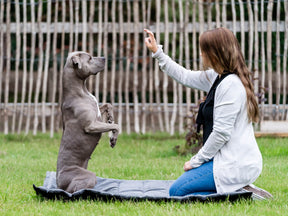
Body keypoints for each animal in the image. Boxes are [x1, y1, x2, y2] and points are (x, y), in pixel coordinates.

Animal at [56, 51, 119, 193]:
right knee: (74, 191)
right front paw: (113, 139)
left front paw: (111, 118)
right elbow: (117, 126)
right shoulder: (91, 125)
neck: (81, 91)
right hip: (88, 175)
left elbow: (108, 105)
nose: (104, 57)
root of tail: (58, 182)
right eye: (89, 58)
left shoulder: (98, 114)